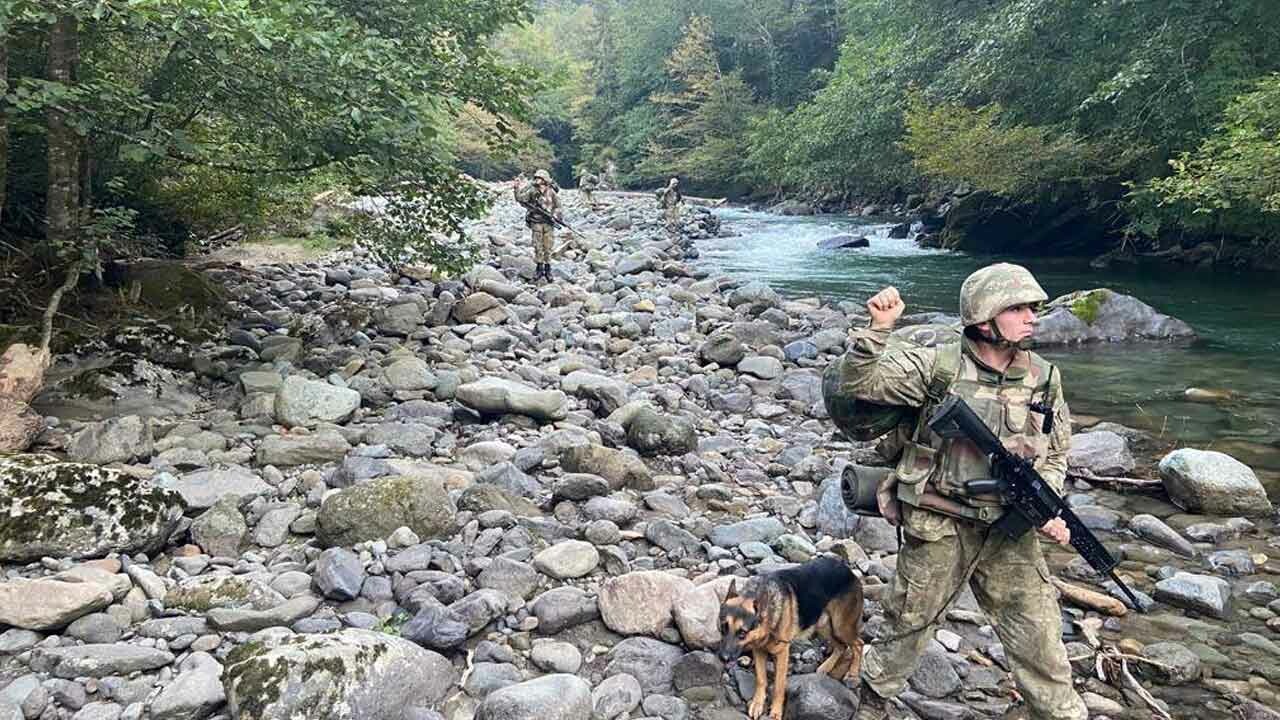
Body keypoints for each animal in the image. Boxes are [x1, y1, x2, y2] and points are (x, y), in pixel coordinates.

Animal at [716, 556, 865, 717]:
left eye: (742, 633)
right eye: (723, 628)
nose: (723, 658)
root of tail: (847, 570)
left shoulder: (782, 653)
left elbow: (779, 686)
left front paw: (776, 711)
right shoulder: (759, 650)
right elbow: (761, 679)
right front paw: (757, 703)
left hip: (840, 627)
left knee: (858, 644)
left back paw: (852, 673)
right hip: (822, 625)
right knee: (841, 647)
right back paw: (826, 666)